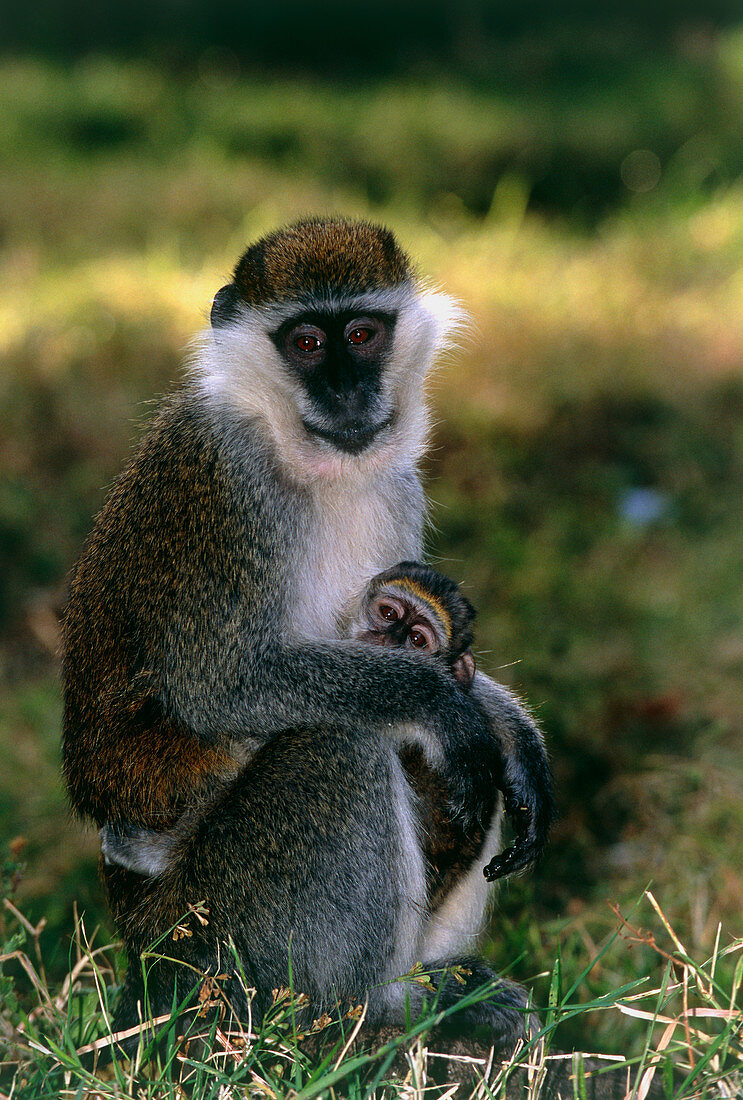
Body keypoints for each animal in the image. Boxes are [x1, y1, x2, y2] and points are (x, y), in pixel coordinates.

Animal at [62, 214, 552, 1047]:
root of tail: (144, 965)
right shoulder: (226, 482)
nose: (348, 390)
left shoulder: (396, 485)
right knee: (342, 745)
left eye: (361, 333)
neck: (309, 460)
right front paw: (445, 707)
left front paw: (511, 730)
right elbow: (221, 687)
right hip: (211, 943)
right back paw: (377, 1010)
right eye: (306, 344)